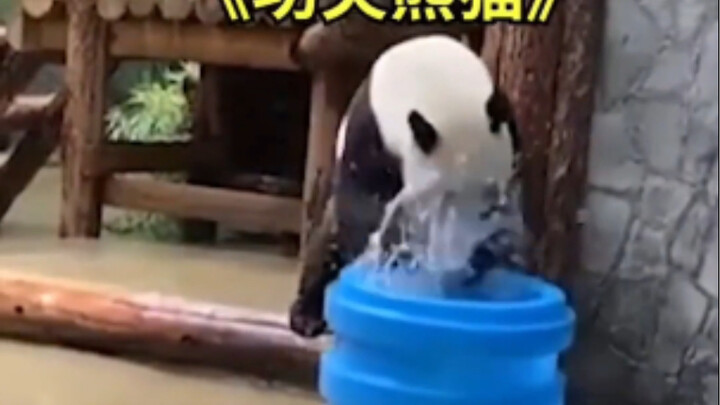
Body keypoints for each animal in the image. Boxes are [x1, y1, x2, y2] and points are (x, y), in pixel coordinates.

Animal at [289, 34, 526, 338]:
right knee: (325, 242)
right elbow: (361, 199)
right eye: (441, 200)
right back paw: (307, 315)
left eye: (487, 205)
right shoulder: (371, 130)